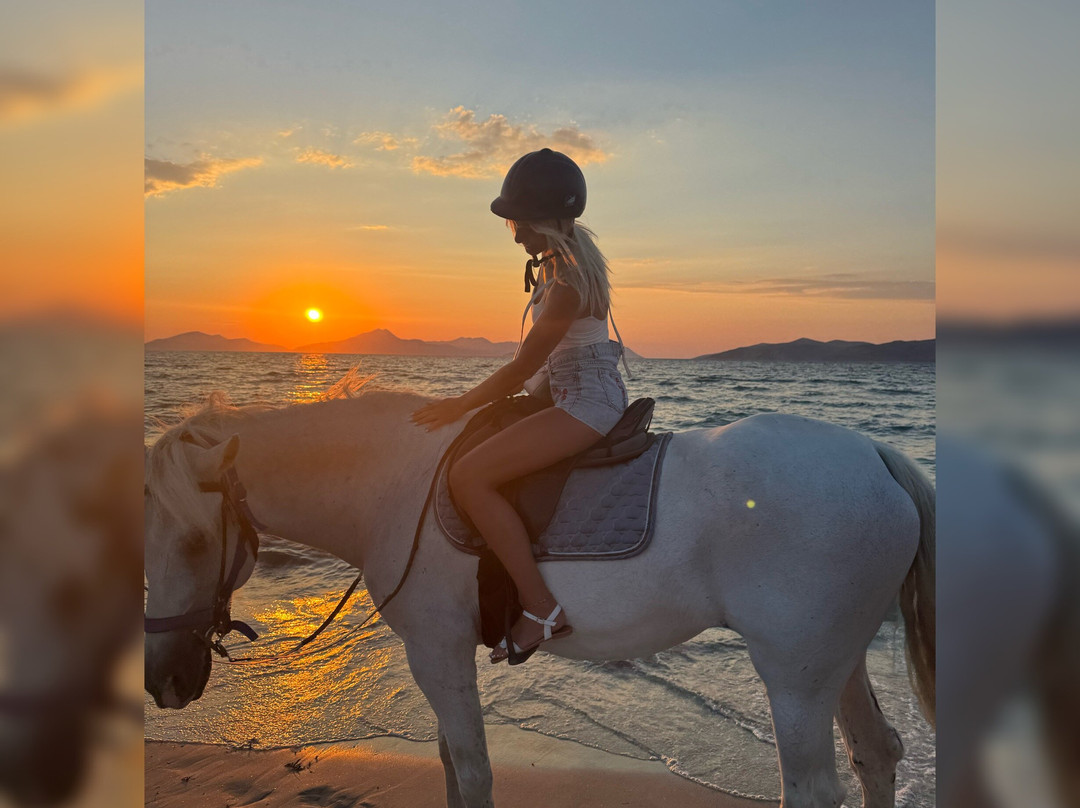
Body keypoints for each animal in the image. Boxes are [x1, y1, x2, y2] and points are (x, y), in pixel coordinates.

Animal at [144, 383, 935, 808]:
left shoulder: (437, 654)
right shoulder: (441, 657)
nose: (164, 682)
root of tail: (875, 454)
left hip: (794, 676)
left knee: (812, 787)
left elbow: (472, 772)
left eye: (194, 543)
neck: (395, 483)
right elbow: (449, 764)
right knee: (877, 753)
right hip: (837, 662)